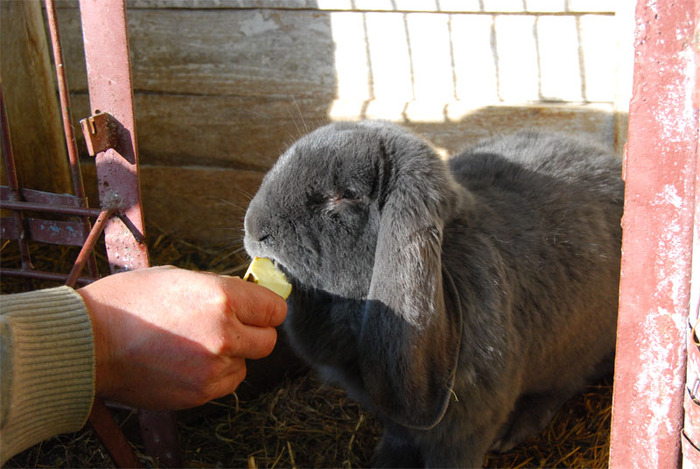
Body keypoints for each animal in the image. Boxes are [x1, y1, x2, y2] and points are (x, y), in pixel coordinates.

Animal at [243, 121, 620, 468]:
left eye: (345, 195)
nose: (254, 229)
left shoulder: (467, 425)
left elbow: (453, 455)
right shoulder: (395, 417)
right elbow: (399, 438)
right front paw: (384, 463)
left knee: (564, 385)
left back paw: (516, 429)